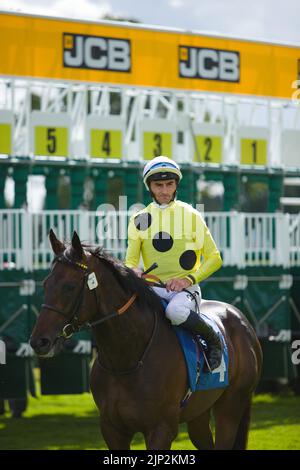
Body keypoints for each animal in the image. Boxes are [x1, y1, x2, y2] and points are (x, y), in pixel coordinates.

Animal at [29, 229, 262, 450]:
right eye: (45, 284)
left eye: (69, 286)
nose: (39, 341)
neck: (126, 360)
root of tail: (240, 318)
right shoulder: (112, 430)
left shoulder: (161, 430)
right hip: (199, 414)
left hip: (230, 407)